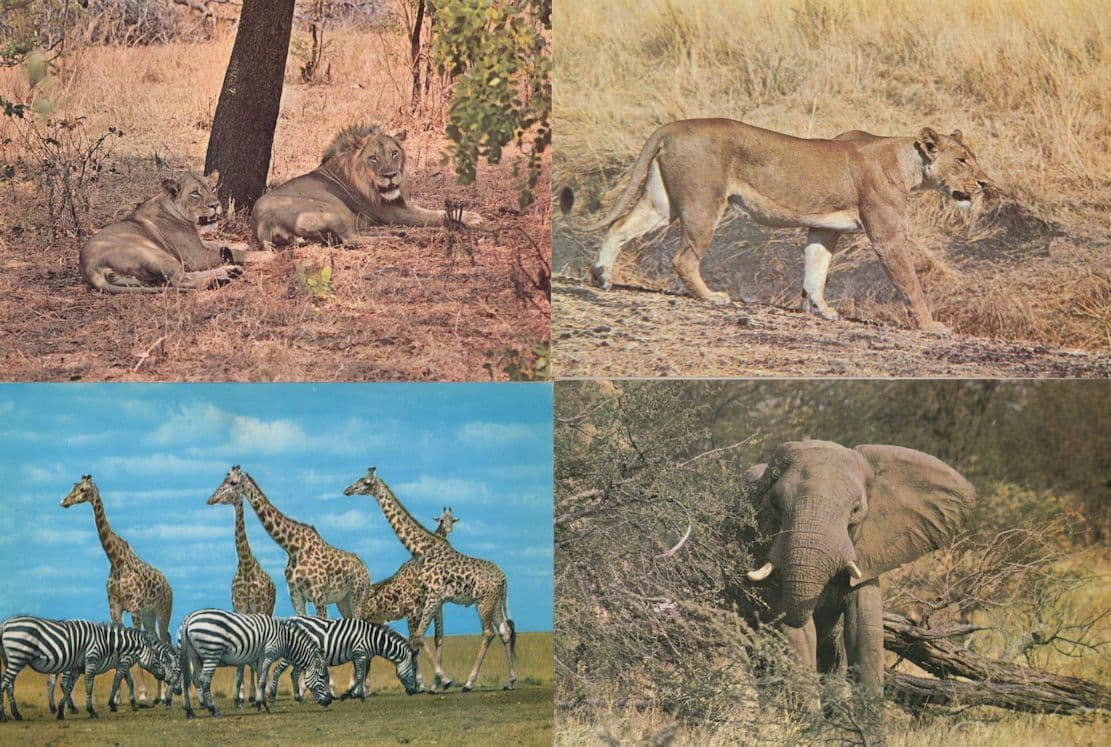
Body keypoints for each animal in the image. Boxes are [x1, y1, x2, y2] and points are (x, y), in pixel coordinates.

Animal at [80, 171, 272, 294]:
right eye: (195, 194)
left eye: (212, 188)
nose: (215, 205)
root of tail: (87, 265)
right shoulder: (196, 256)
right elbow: (235, 253)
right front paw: (264, 255)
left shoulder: (198, 245)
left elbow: (218, 243)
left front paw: (242, 243)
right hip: (154, 253)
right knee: (182, 280)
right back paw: (224, 276)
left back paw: (229, 271)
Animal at [251, 124, 482, 247]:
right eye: (373, 158)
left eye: (394, 153)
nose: (390, 176)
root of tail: (263, 221)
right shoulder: (393, 212)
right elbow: (433, 215)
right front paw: (471, 217)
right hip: (334, 210)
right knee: (350, 239)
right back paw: (396, 236)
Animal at [560, 119, 991, 334]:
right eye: (963, 161)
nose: (985, 184)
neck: (907, 164)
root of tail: (671, 127)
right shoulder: (886, 236)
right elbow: (910, 282)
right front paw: (931, 325)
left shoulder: (824, 228)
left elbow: (815, 270)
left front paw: (821, 310)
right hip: (703, 203)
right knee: (683, 258)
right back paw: (712, 297)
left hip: (662, 203)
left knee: (618, 226)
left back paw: (601, 276)